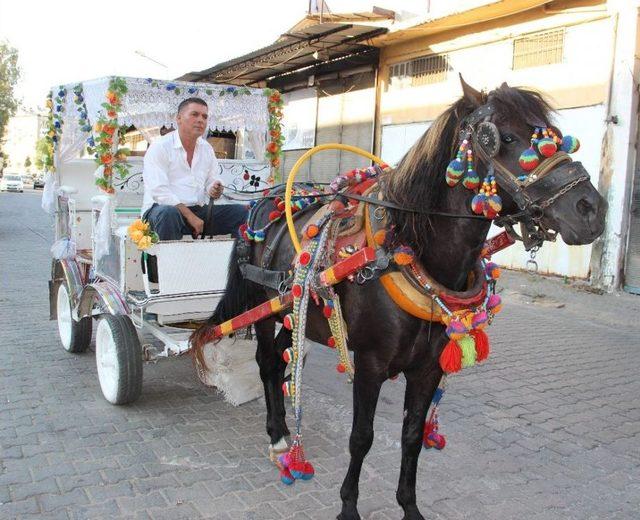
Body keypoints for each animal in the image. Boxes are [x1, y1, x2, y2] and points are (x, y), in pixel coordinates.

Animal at [190, 78, 604, 520]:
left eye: (559, 136)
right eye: (504, 138)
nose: (592, 210)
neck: (407, 250)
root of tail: (261, 207)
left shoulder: (428, 368)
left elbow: (411, 436)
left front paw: (409, 505)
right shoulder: (370, 364)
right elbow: (361, 437)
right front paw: (348, 506)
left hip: (292, 312)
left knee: (287, 360)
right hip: (265, 310)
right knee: (268, 365)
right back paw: (279, 436)